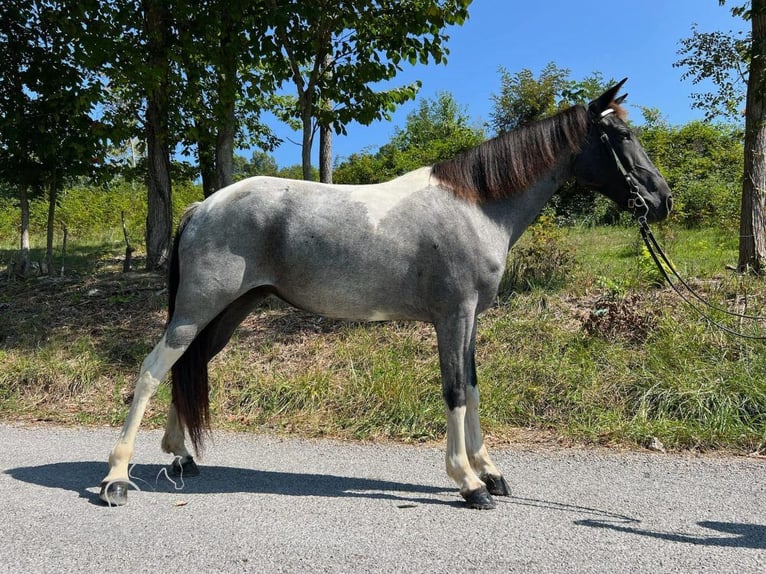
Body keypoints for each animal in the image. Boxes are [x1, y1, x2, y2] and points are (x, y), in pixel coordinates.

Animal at [100, 79, 672, 510]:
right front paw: (468, 483)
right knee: (152, 370)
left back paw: (180, 456)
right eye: (620, 134)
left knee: (187, 365)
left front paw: (490, 472)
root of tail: (202, 207)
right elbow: (454, 391)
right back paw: (117, 478)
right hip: (197, 310)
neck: (476, 206)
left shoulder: (469, 320)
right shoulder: (452, 317)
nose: (662, 199)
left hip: (229, 313)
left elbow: (473, 388)